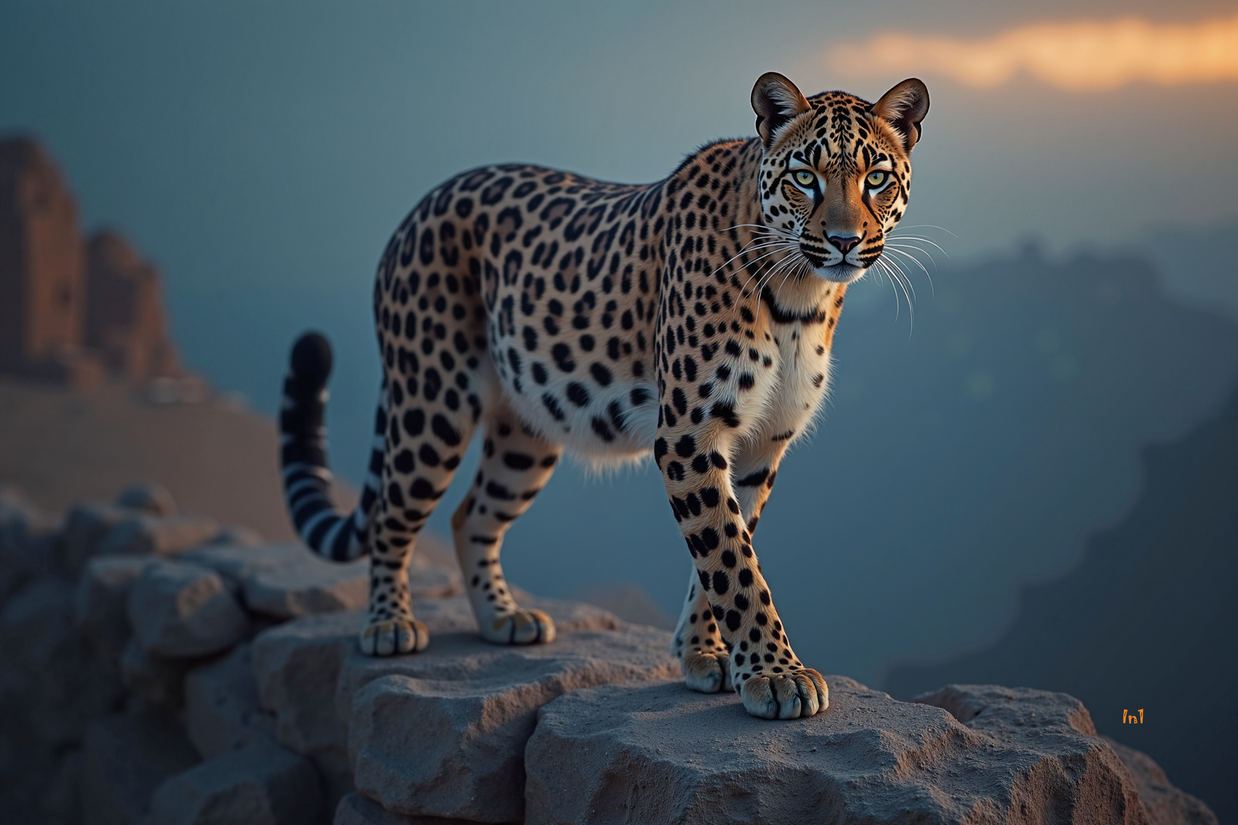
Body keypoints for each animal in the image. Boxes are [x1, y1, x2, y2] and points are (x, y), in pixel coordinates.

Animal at [278, 72, 929, 720]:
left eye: (875, 177)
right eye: (805, 177)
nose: (844, 241)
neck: (801, 297)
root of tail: (421, 204)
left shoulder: (760, 444)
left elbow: (721, 553)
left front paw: (703, 654)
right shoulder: (689, 434)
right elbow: (731, 561)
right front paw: (775, 674)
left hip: (527, 431)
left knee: (471, 515)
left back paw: (503, 618)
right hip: (429, 402)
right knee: (393, 513)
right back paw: (389, 625)